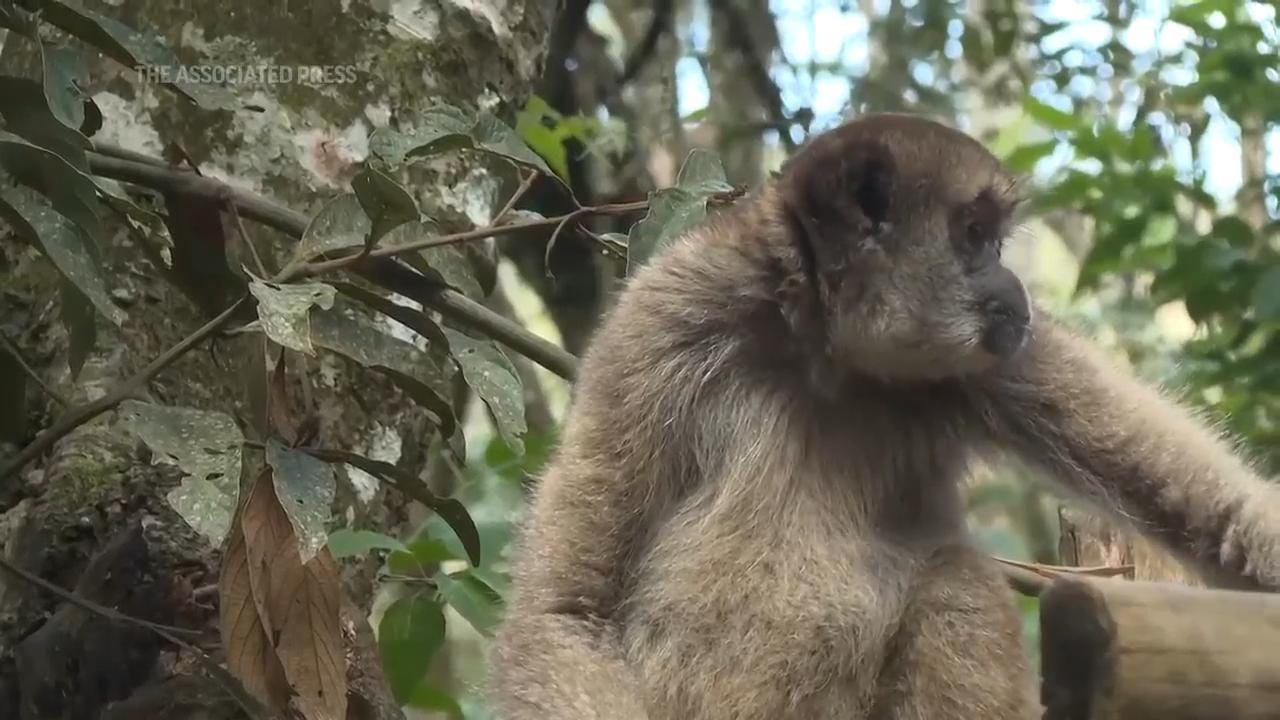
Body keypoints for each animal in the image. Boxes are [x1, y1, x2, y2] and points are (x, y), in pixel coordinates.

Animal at [486, 114, 1280, 712]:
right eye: (975, 236)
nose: (1014, 286)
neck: (824, 349)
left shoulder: (993, 357)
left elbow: (1220, 516)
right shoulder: (663, 314)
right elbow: (565, 613)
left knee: (953, 579)